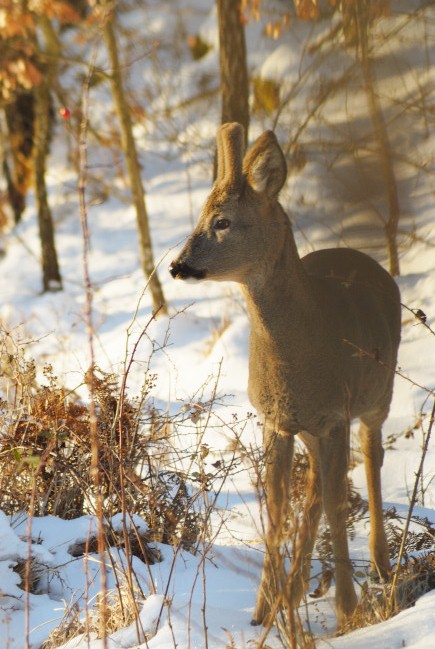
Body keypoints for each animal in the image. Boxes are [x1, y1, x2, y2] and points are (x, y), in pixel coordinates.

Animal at [169, 123, 402, 628]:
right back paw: (294, 589)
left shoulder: (335, 412)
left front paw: (347, 609)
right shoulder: (276, 419)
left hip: (378, 393)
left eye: (222, 221)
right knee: (315, 483)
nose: (177, 266)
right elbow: (277, 508)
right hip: (313, 426)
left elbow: (336, 502)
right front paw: (262, 610)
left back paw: (378, 564)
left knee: (370, 459)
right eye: (200, 217)